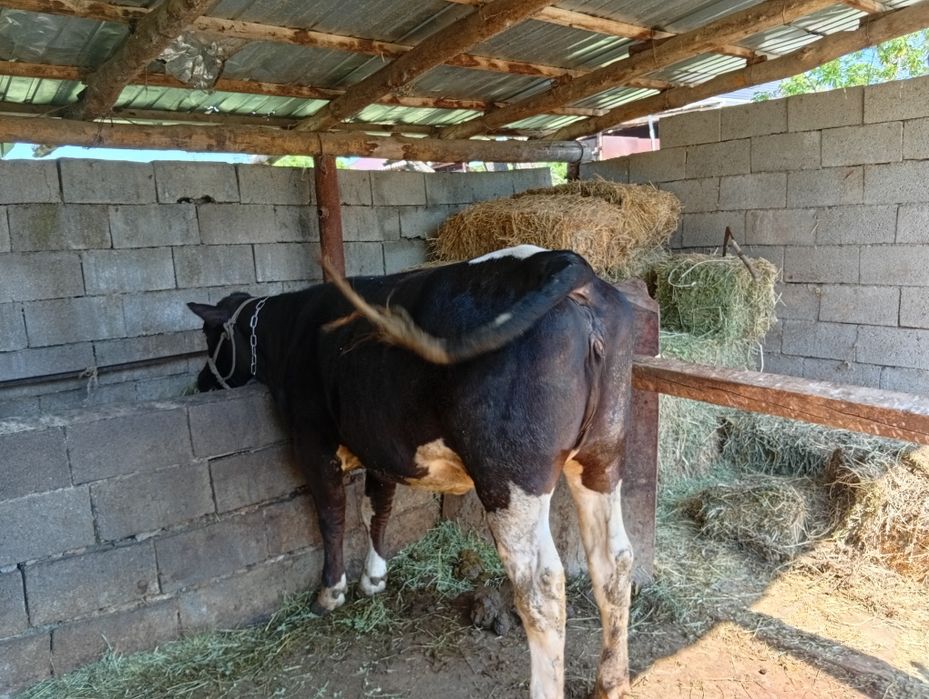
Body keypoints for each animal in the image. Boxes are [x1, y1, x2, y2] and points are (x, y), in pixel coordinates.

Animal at [187, 245, 635, 698]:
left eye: (210, 336)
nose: (201, 383)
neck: (292, 330)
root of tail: (562, 259)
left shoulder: (312, 442)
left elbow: (332, 515)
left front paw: (331, 592)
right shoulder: (381, 447)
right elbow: (377, 510)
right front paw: (374, 579)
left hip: (511, 475)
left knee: (541, 586)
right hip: (602, 456)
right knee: (614, 560)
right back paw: (611, 681)